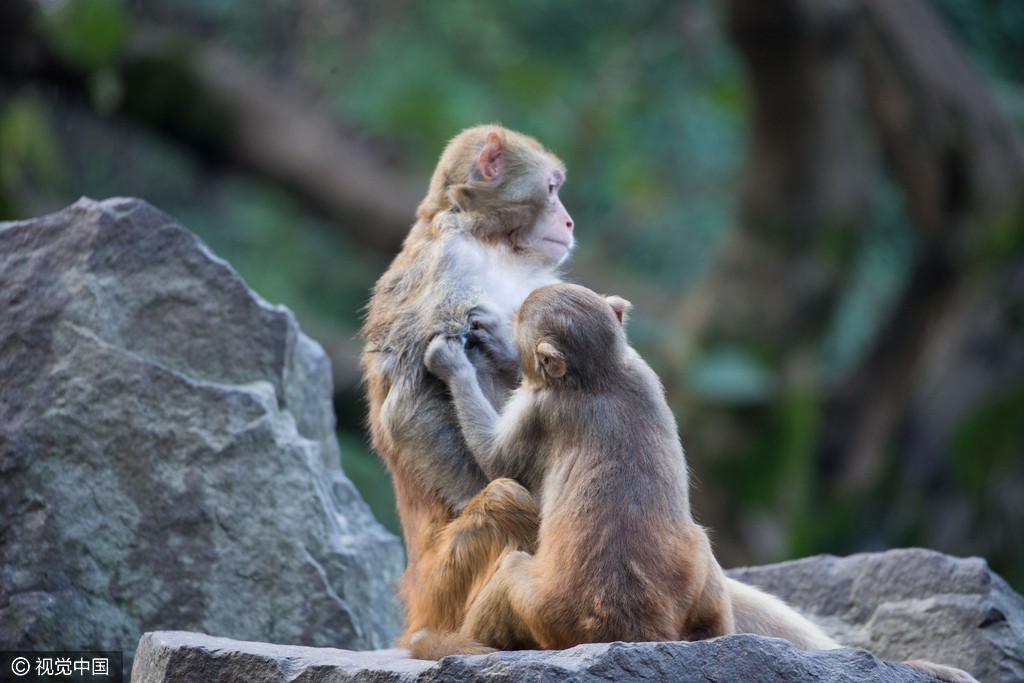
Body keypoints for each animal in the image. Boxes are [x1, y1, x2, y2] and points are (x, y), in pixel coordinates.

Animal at [358, 124, 577, 647]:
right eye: (552, 187)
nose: (569, 222)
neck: (491, 242)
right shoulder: (448, 263)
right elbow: (408, 407)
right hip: (443, 583)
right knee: (501, 500)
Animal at [421, 278, 974, 683]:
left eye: (523, 318)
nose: (507, 322)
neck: (601, 373)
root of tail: (633, 626)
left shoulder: (542, 408)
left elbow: (498, 462)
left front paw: (462, 360)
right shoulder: (644, 371)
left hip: (549, 612)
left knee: (512, 567)